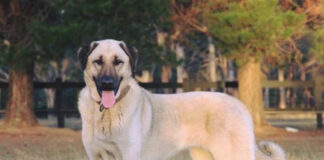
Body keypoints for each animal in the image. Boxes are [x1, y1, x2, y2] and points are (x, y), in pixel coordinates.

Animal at [77, 39, 284, 160]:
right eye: (98, 61)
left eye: (118, 62)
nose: (107, 84)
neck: (105, 113)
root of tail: (241, 105)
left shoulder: (129, 155)